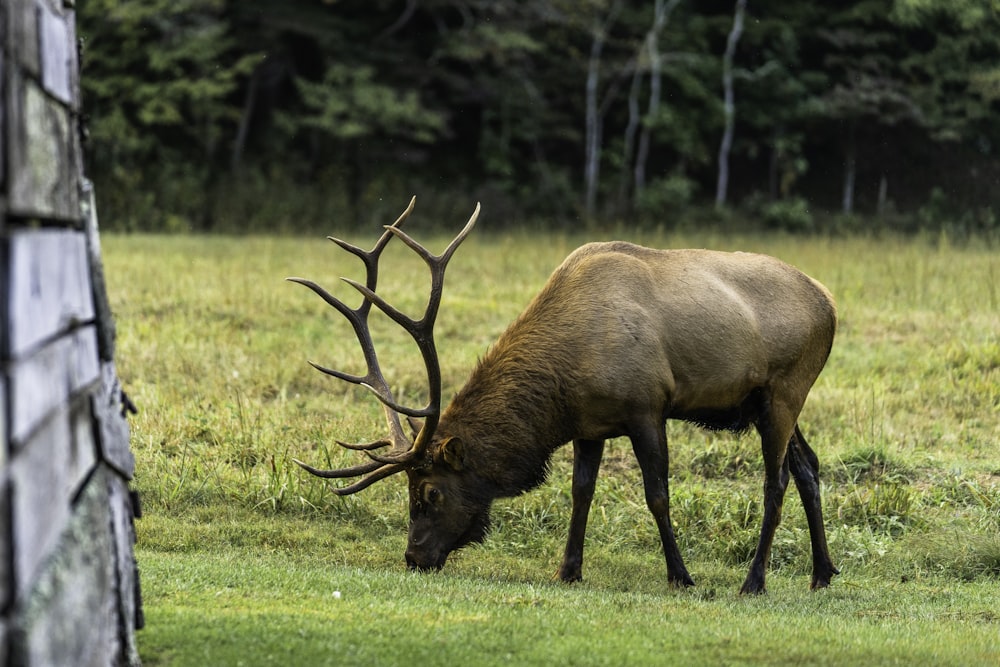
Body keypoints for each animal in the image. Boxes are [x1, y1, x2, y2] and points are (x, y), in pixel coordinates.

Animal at [290, 198, 836, 596]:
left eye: (431, 493)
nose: (414, 557)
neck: (563, 379)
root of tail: (830, 304)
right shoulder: (589, 424)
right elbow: (581, 491)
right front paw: (568, 569)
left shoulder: (647, 406)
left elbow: (657, 494)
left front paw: (681, 576)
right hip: (764, 402)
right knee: (808, 467)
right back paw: (822, 572)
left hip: (788, 387)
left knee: (775, 482)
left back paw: (754, 581)